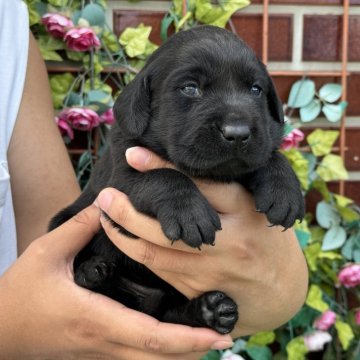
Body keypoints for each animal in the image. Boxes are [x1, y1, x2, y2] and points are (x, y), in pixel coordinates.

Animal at [97, 145, 308, 336]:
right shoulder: (118, 206)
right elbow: (163, 175)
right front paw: (189, 212)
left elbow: (268, 157)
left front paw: (283, 190)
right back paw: (96, 272)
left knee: (170, 315)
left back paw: (212, 312)